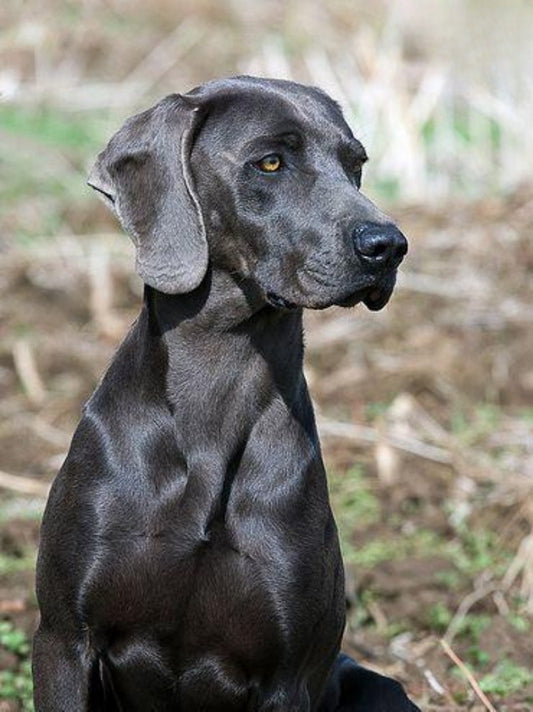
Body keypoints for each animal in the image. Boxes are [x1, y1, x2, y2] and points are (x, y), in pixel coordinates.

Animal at [33, 75, 418, 708]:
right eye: (270, 162)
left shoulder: (288, 677)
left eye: (355, 164)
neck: (219, 379)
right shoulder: (64, 639)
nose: (388, 245)